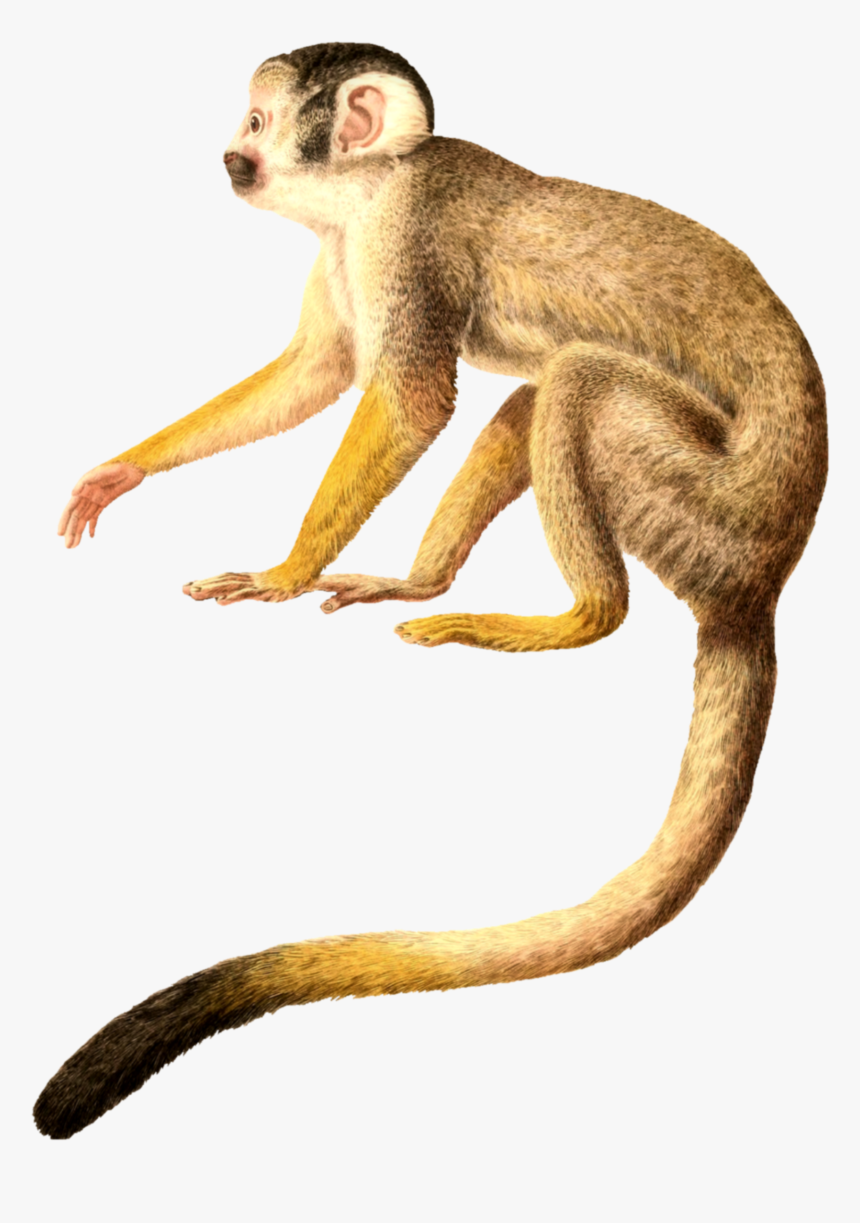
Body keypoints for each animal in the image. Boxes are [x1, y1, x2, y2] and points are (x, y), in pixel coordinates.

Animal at [39, 42, 827, 1139]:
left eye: (255, 120)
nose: (227, 154)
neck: (373, 185)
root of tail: (765, 575)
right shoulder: (347, 243)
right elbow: (315, 371)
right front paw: (123, 472)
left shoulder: (402, 233)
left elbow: (407, 399)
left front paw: (280, 573)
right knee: (540, 392)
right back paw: (421, 579)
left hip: (708, 506)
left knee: (579, 381)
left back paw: (577, 616)